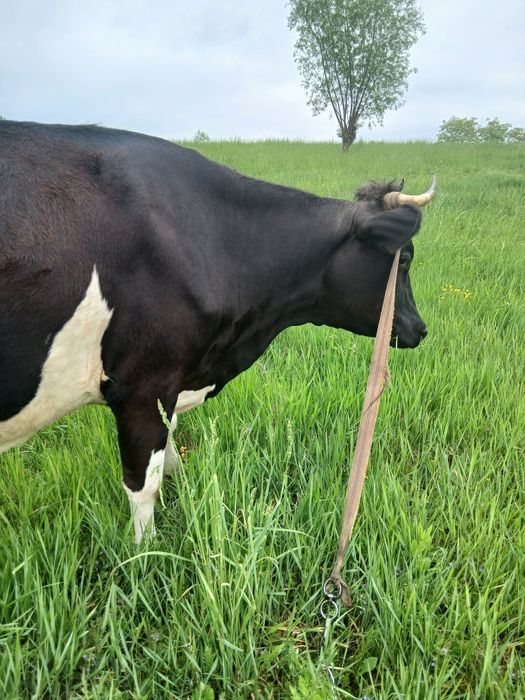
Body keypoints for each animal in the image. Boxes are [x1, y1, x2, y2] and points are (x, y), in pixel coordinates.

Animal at [0, 121, 434, 543]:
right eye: (405, 259)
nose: (421, 328)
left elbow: (170, 454)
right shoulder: (143, 385)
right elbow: (143, 486)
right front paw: (146, 554)